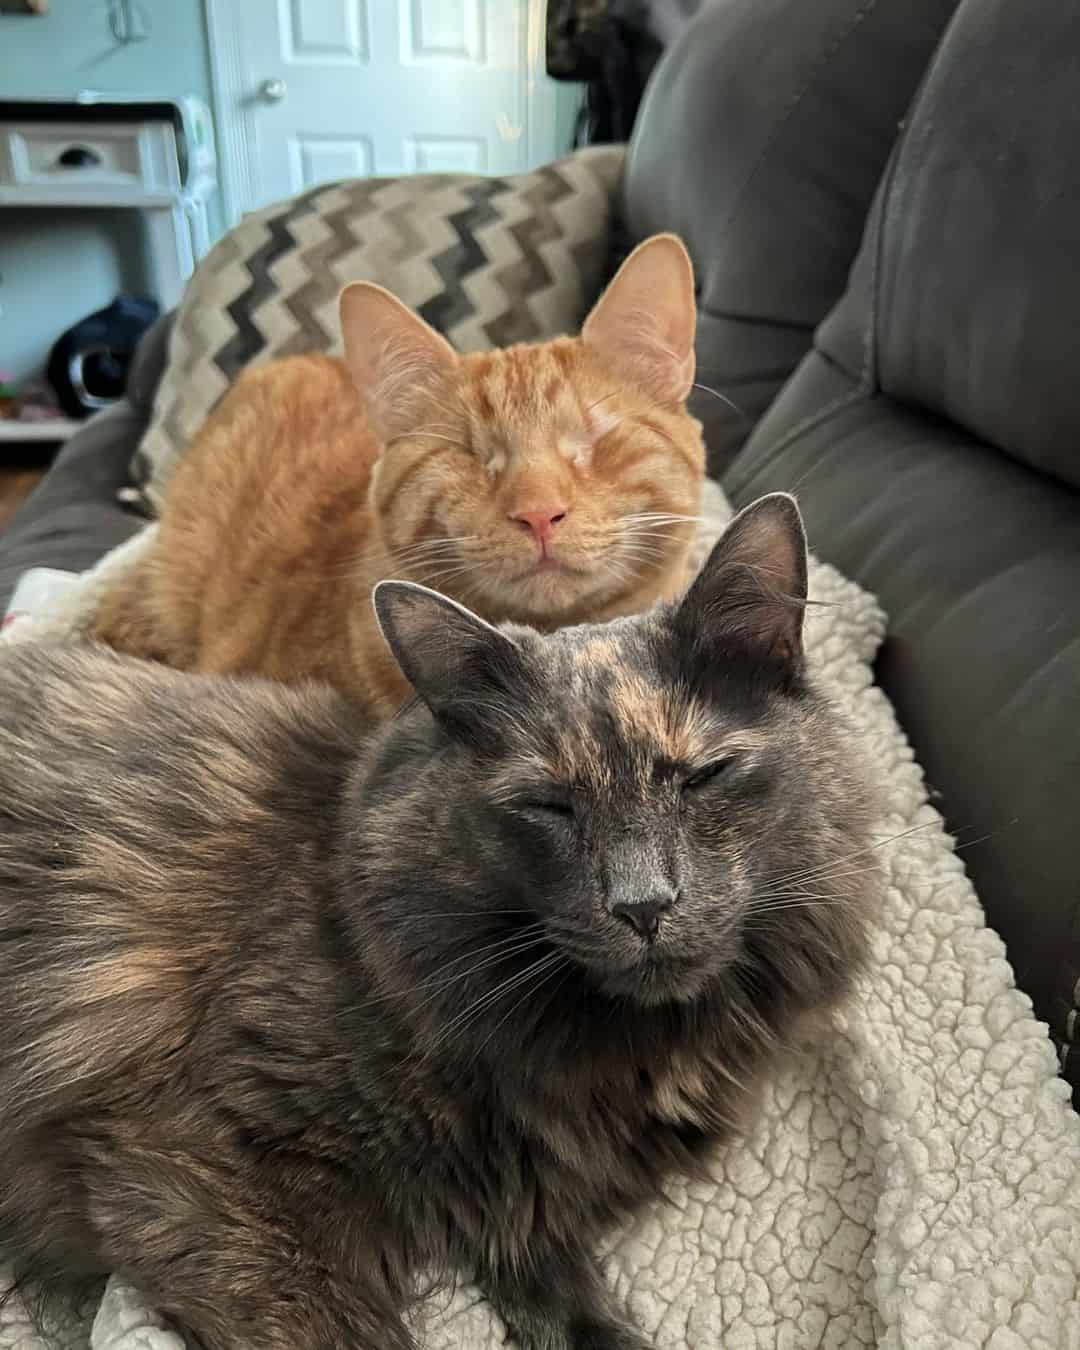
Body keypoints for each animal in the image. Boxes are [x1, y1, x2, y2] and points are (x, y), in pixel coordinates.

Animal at [0, 496, 874, 1350]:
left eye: (703, 776)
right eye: (547, 805)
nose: (642, 904)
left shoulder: (526, 1215)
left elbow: (577, 1317)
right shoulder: (202, 1175)